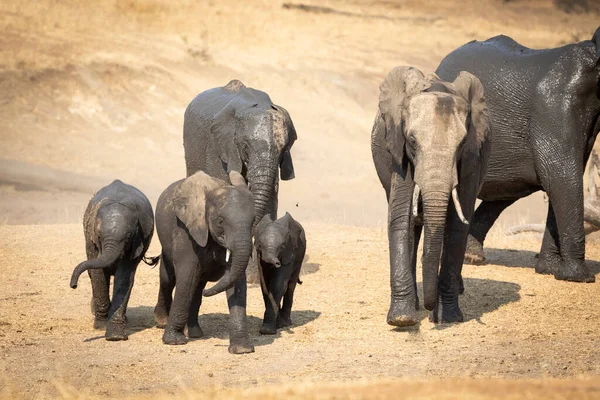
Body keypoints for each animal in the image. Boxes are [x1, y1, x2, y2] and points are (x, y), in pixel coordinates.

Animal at [69, 180, 158, 340]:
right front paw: (101, 326)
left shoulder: (137, 243)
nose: (73, 285)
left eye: (128, 237)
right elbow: (97, 273)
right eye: (99, 236)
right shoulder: (91, 240)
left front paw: (115, 336)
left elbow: (124, 277)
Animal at [152, 169, 255, 354]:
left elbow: (236, 282)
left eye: (254, 221)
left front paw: (242, 350)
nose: (209, 292)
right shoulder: (186, 228)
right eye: (220, 221)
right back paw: (162, 322)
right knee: (168, 280)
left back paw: (194, 333)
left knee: (197, 286)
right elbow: (187, 276)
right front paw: (174, 341)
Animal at [370, 65, 492, 324]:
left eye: (461, 143)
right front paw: (402, 320)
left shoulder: (472, 159)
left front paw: (448, 318)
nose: (428, 308)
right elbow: (401, 218)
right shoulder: (399, 152)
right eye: (412, 141)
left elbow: (457, 225)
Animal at [436, 26, 600, 282]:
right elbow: (561, 177)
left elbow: (561, 179)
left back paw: (472, 257)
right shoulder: (555, 104)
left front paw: (549, 270)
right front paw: (579, 278)